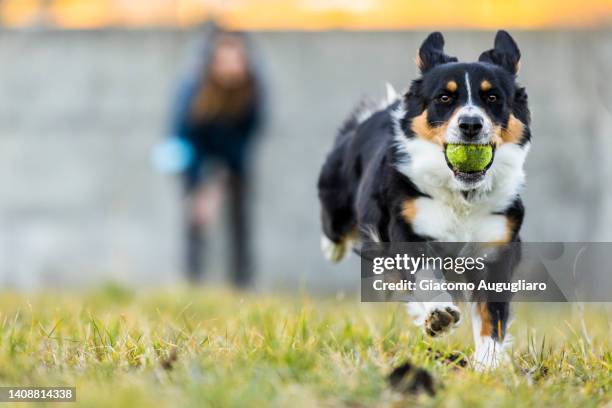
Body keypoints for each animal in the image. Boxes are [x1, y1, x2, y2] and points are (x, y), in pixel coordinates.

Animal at [318, 31, 528, 370]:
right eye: (444, 98)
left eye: (493, 98)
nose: (471, 125)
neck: (461, 195)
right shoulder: (407, 228)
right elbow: (424, 276)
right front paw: (438, 315)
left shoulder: (496, 248)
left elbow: (491, 317)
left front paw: (488, 366)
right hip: (336, 206)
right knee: (334, 231)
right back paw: (333, 248)